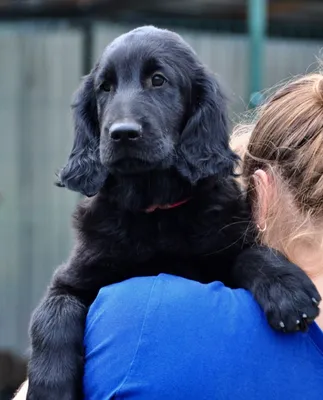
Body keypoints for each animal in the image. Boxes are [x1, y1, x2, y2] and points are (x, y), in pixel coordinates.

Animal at [27, 26, 322, 398]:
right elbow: (52, 312)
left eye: (158, 80)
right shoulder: (74, 276)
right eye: (105, 87)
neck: (154, 212)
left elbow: (250, 253)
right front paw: (49, 386)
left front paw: (286, 288)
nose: (122, 133)